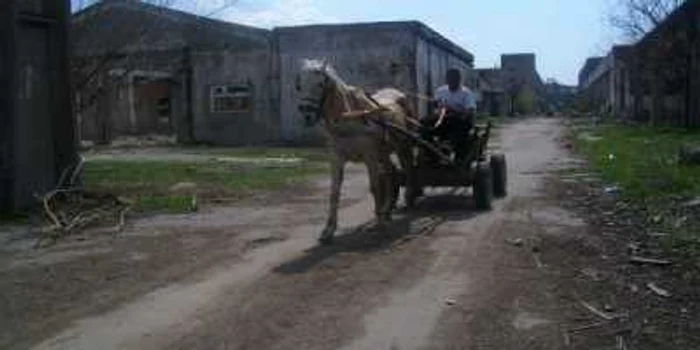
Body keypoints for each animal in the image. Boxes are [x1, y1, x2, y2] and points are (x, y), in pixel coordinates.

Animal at [294, 59, 416, 246]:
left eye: (320, 83)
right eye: (299, 84)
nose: (307, 115)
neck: (350, 118)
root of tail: (398, 93)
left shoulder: (369, 156)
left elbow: (374, 187)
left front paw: (380, 223)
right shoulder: (336, 158)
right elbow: (334, 192)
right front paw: (328, 230)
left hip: (403, 145)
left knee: (408, 167)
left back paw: (406, 199)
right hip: (384, 152)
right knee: (390, 174)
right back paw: (387, 209)